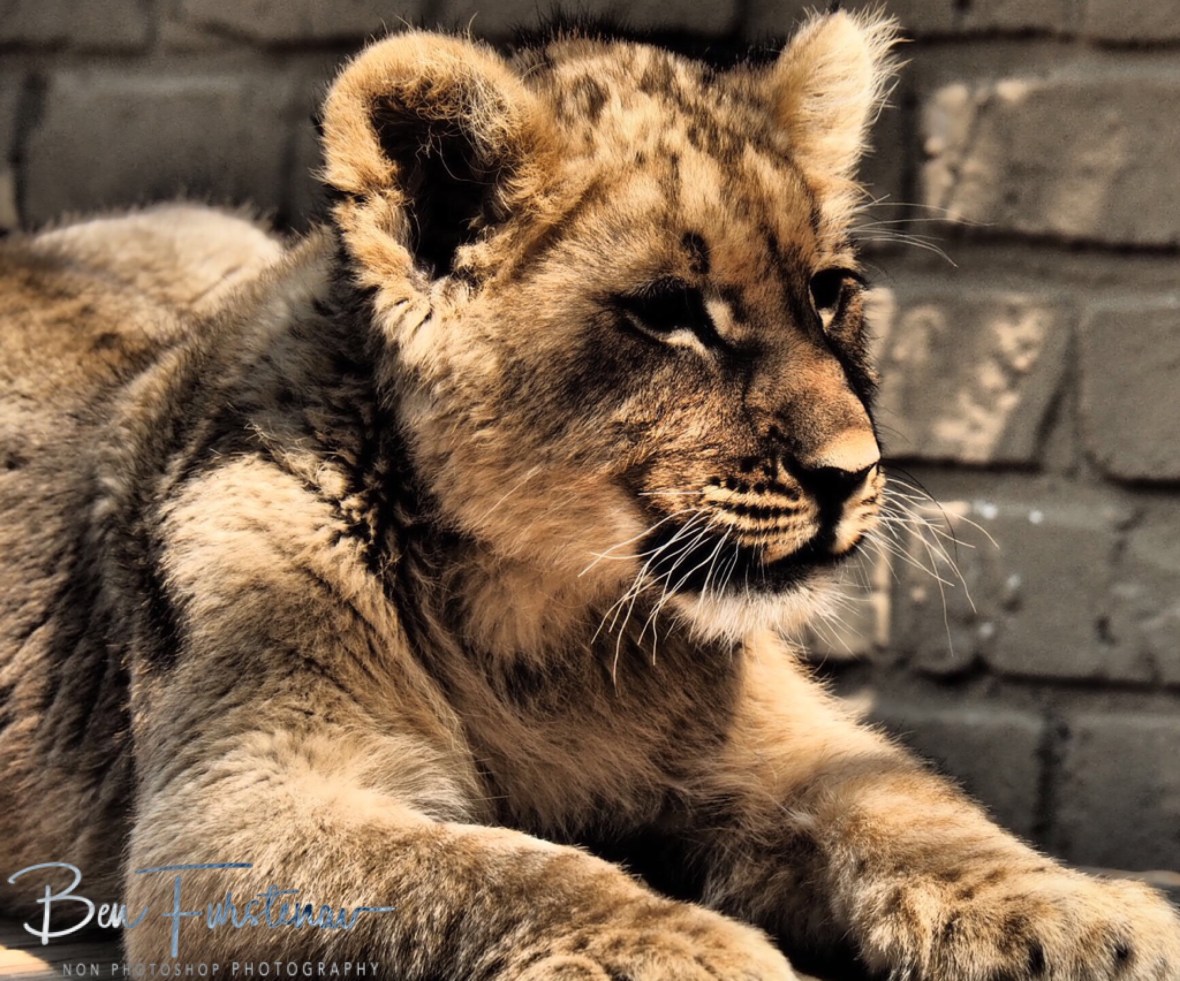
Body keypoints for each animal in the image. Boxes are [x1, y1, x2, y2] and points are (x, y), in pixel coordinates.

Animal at [1, 12, 1177, 980]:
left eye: (829, 294)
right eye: (670, 314)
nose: (853, 475)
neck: (545, 627)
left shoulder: (791, 742)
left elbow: (914, 806)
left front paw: (1097, 916)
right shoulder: (231, 821)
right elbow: (499, 873)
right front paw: (702, 955)